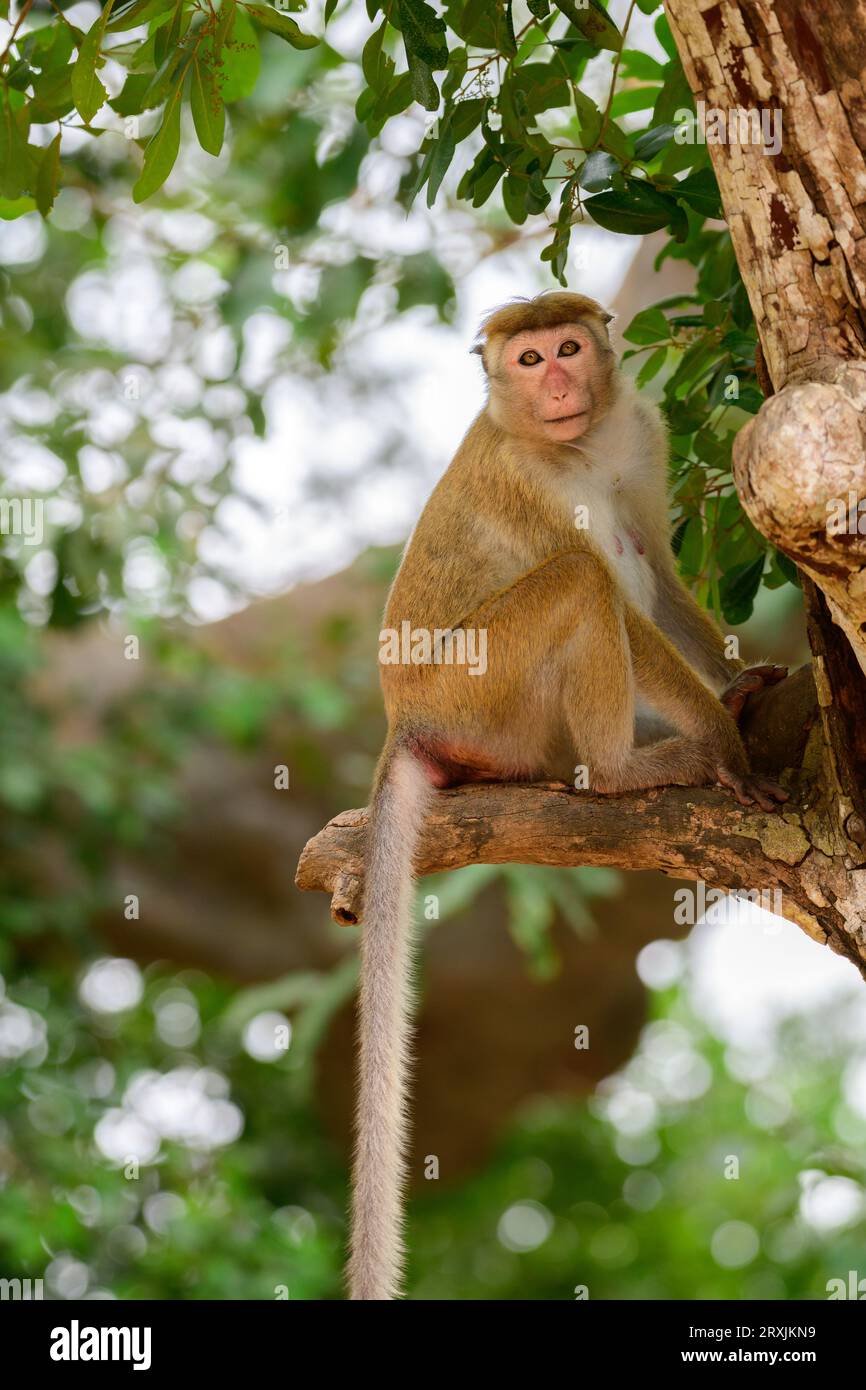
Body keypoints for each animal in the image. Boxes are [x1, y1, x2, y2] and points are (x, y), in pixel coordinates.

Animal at [348, 287, 789, 1295]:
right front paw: (721, 739)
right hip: (480, 690)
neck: (575, 446)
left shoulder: (640, 432)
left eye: (569, 348)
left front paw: (740, 687)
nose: (554, 383)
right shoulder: (525, 481)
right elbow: (621, 601)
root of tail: (406, 723)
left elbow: (655, 568)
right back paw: (623, 769)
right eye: (527, 358)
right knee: (584, 578)